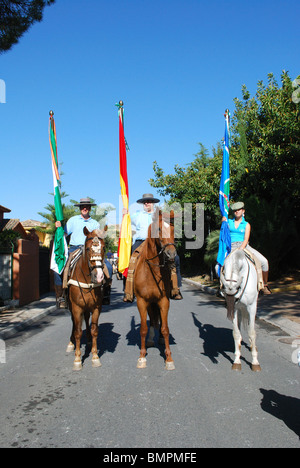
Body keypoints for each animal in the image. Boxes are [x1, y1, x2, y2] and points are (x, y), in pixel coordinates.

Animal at [65, 226, 106, 370]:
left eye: (104, 248)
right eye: (88, 248)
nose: (99, 276)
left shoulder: (96, 307)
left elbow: (94, 330)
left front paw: (95, 357)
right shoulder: (77, 307)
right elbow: (78, 331)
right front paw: (77, 359)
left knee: (87, 318)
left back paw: (88, 339)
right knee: (73, 322)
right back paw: (71, 343)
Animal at [133, 211, 176, 370]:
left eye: (173, 229)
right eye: (158, 229)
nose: (171, 254)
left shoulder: (164, 301)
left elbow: (165, 328)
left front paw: (169, 358)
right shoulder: (141, 301)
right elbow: (143, 329)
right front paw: (141, 357)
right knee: (151, 319)